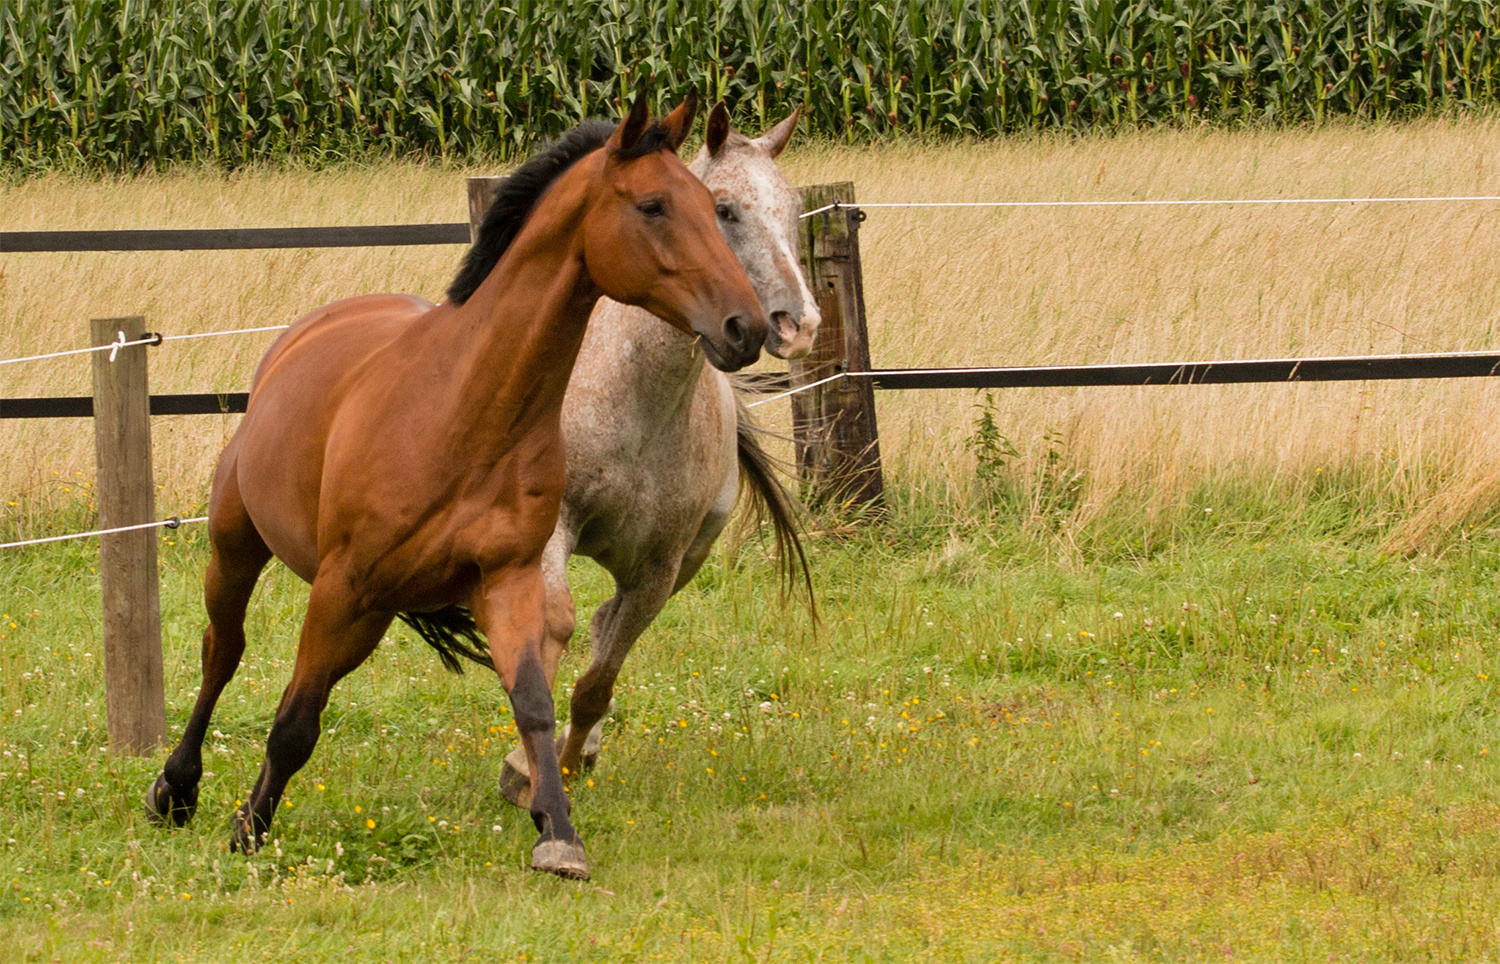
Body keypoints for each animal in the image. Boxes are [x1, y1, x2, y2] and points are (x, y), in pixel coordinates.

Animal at [144, 92, 768, 881]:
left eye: (711, 207)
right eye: (654, 205)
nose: (746, 326)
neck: (464, 413)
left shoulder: (506, 580)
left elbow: (533, 703)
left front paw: (558, 834)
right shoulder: (342, 586)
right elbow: (294, 722)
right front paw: (249, 831)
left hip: (374, 612)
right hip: (241, 548)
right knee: (222, 653)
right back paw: (176, 789)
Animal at [489, 101, 822, 803]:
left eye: (793, 204)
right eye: (724, 209)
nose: (796, 325)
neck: (633, 399)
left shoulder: (660, 568)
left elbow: (597, 681)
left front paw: (560, 764)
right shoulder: (552, 529)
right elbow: (549, 633)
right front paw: (527, 770)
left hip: (686, 559)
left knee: (604, 623)